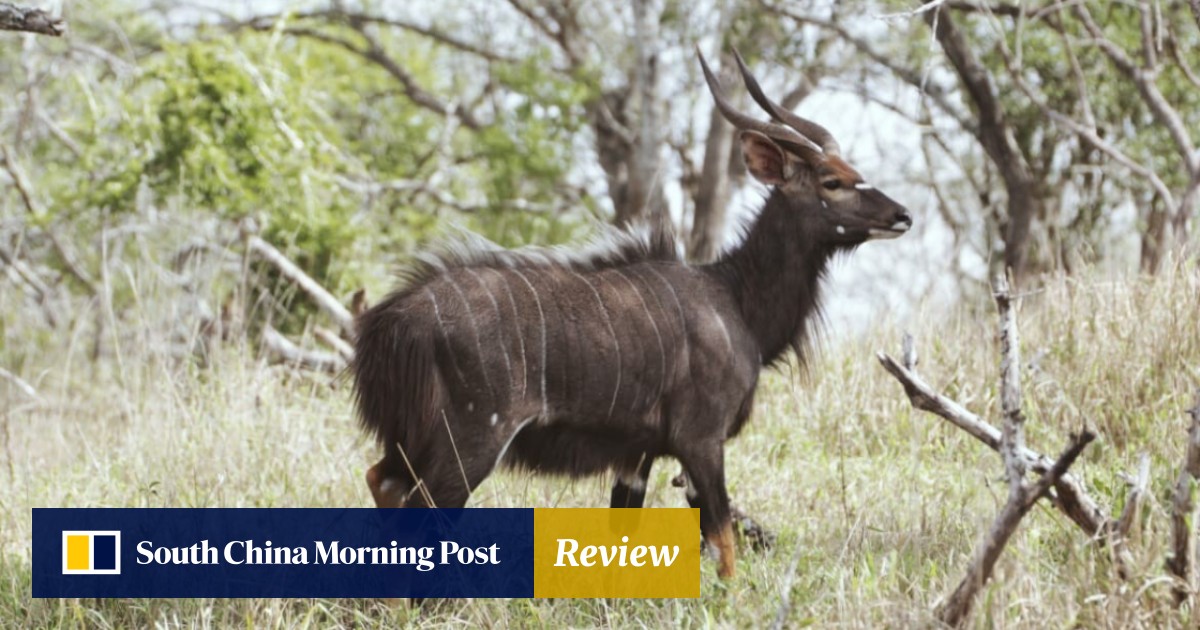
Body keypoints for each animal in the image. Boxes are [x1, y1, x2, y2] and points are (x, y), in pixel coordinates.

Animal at [352, 50, 912, 579]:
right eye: (832, 181)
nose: (902, 215)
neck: (734, 296)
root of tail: (394, 319)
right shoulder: (700, 439)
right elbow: (723, 542)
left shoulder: (637, 456)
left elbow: (626, 545)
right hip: (470, 440)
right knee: (422, 508)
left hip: (411, 441)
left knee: (381, 480)